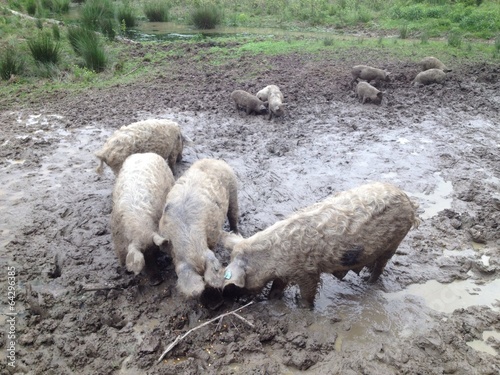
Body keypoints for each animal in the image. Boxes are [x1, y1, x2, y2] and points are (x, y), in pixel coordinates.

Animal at [221, 183, 420, 308]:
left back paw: (368, 283)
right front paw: (271, 301)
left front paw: (303, 308)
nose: (229, 297)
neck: (273, 257)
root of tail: (409, 200)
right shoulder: (285, 273)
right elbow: (276, 289)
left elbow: (308, 294)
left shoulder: (308, 272)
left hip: (395, 242)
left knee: (380, 267)